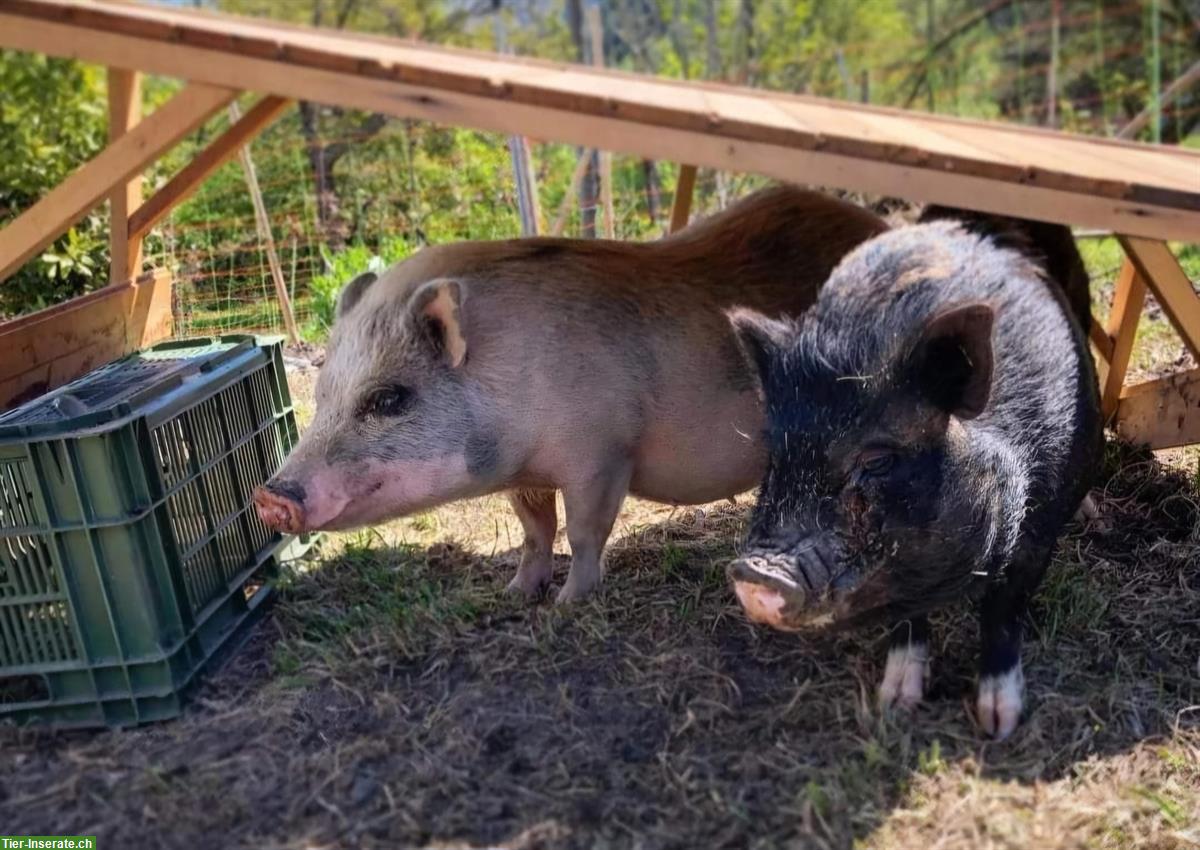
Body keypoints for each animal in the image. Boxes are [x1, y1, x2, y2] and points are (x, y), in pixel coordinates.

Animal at [253, 184, 888, 600]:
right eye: (325, 393)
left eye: (388, 399)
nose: (270, 495)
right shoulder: (527, 476)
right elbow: (535, 531)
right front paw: (514, 594)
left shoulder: (602, 453)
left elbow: (584, 532)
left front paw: (567, 605)